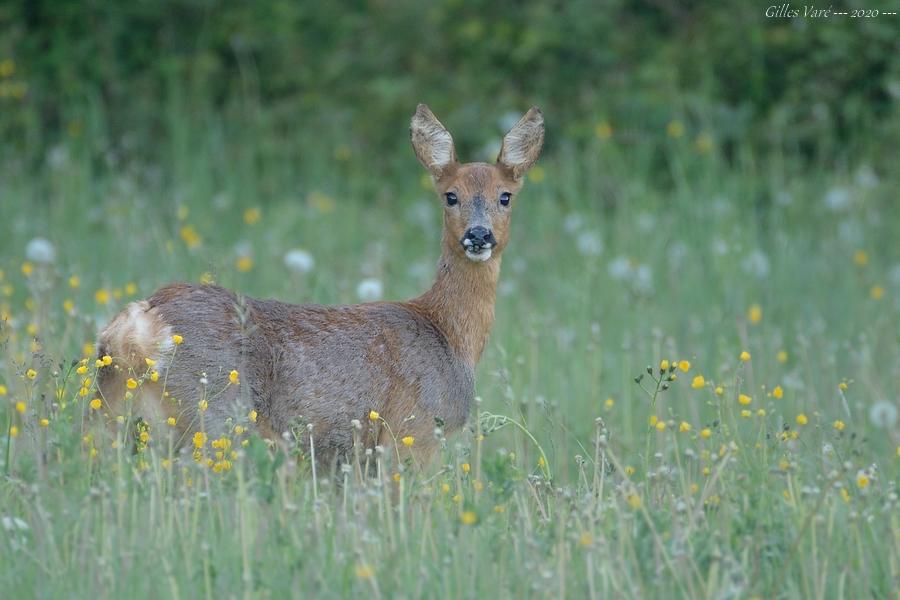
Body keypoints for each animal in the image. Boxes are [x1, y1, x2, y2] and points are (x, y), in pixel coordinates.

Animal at [95, 104, 544, 468]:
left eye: (505, 196)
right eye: (451, 196)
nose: (479, 235)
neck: (449, 334)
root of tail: (140, 324)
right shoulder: (410, 431)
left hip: (111, 412)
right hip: (216, 415)